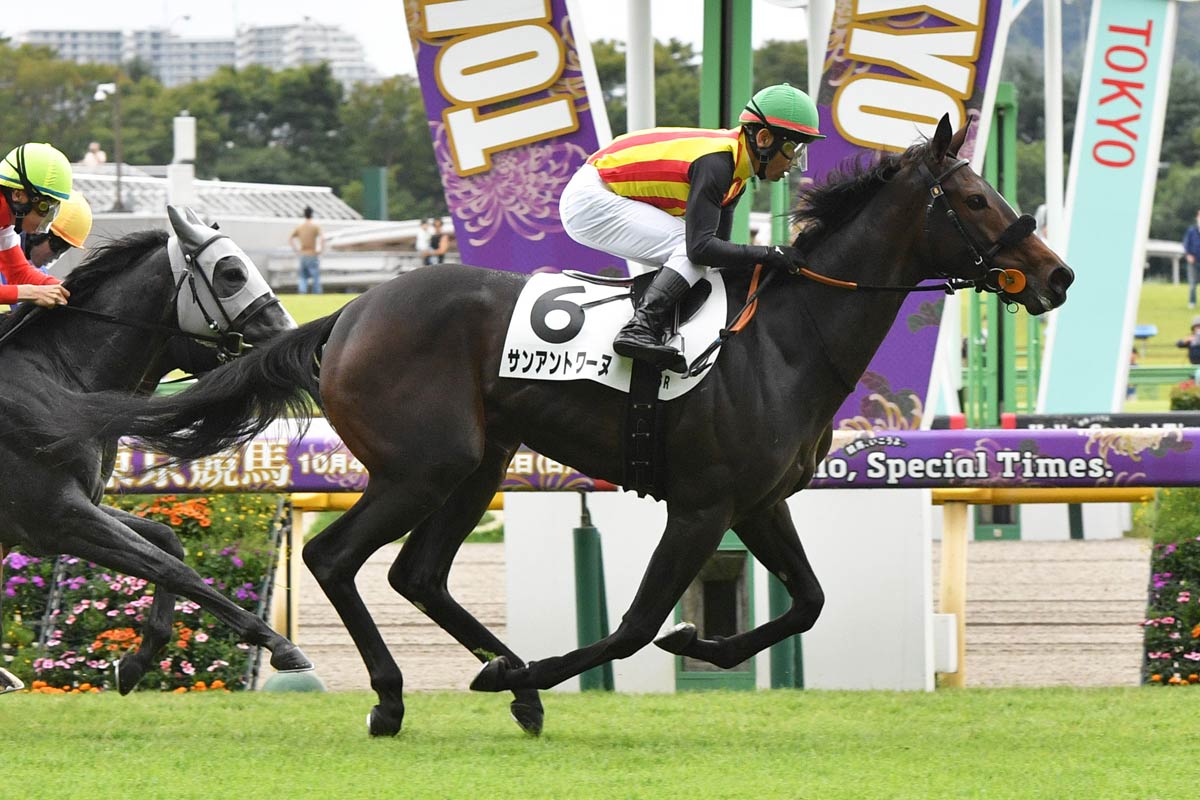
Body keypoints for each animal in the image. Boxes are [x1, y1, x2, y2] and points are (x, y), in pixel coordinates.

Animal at [0, 206, 312, 695]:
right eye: (232, 273)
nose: (289, 334)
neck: (59, 381)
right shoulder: (57, 519)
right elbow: (173, 569)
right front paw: (280, 644)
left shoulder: (83, 505)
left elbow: (169, 542)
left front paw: (136, 660)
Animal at [47, 117, 1073, 734]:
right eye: (972, 198)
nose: (1057, 276)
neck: (784, 341)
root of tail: (350, 312)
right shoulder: (701, 505)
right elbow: (634, 625)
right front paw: (570, 666)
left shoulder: (759, 502)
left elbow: (810, 603)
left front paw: (693, 649)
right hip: (423, 466)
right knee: (339, 558)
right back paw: (399, 698)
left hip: (480, 461)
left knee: (419, 573)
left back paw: (502, 679)